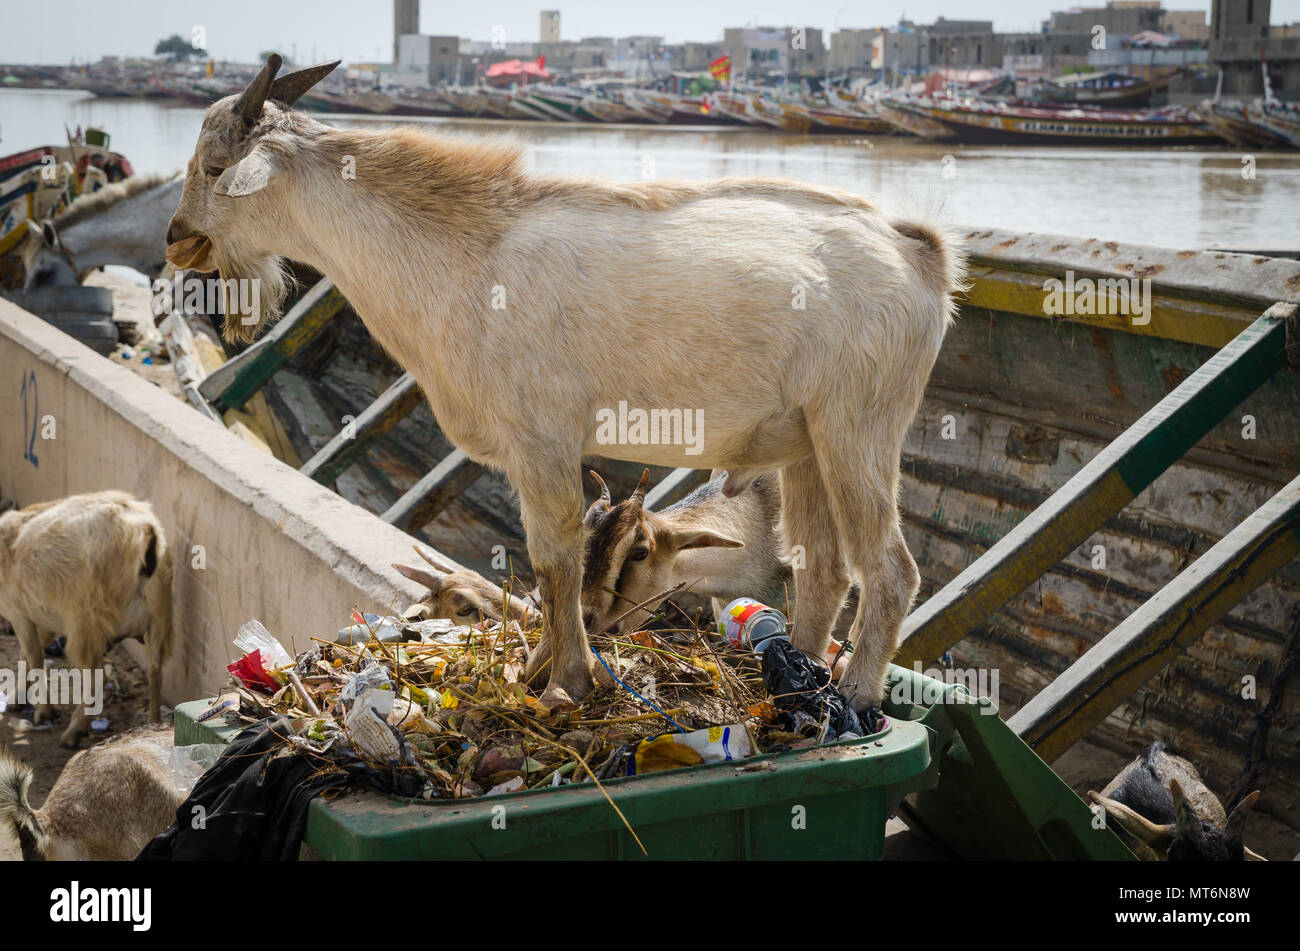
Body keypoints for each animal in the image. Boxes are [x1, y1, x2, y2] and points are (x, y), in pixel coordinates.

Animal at [0, 491, 174, 748]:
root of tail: (145, 532)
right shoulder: (45, 615)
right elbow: (28, 654)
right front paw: (17, 698)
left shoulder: (19, 612)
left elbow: (34, 656)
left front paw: (44, 711)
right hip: (158, 614)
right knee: (155, 672)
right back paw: (152, 725)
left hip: (87, 618)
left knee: (96, 675)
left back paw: (75, 731)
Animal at [165, 51, 967, 706]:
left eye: (214, 168)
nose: (175, 239)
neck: (463, 251)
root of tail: (922, 253)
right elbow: (557, 564)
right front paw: (538, 673)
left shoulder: (541, 439)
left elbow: (554, 559)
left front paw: (564, 683)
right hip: (805, 445)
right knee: (824, 568)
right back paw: (796, 680)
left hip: (858, 428)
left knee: (891, 569)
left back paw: (854, 694)